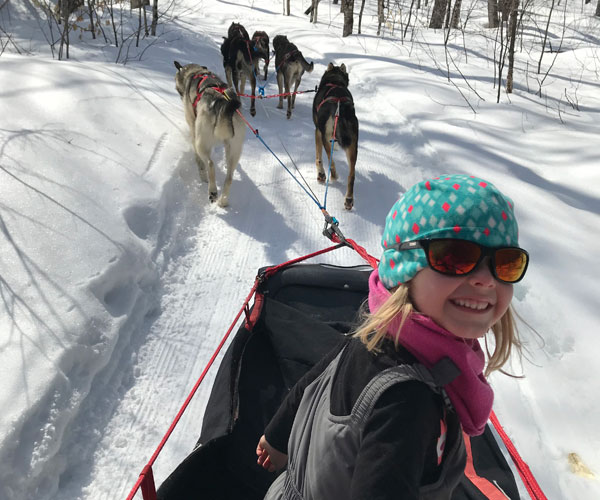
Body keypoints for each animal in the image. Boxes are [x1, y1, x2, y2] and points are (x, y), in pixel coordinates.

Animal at [175, 62, 245, 207]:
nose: (179, 94)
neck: (195, 72)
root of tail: (222, 103)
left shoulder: (193, 129)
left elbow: (199, 161)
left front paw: (201, 172)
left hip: (202, 143)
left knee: (210, 164)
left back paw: (212, 191)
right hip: (234, 150)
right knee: (229, 178)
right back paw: (223, 200)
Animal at [312, 63, 358, 210]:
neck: (334, 81)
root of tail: (339, 107)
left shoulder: (317, 131)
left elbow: (318, 158)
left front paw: (320, 174)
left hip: (327, 140)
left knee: (331, 162)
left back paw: (330, 176)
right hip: (353, 146)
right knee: (351, 175)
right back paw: (349, 199)